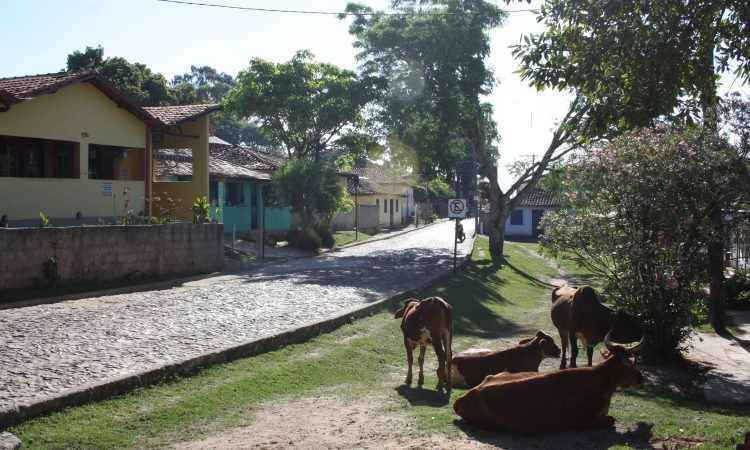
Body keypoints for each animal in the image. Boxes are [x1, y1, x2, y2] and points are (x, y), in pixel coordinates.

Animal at [456, 332, 644, 434]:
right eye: (630, 363)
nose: (641, 378)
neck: (601, 380)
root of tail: (467, 396)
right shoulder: (586, 421)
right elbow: (611, 419)